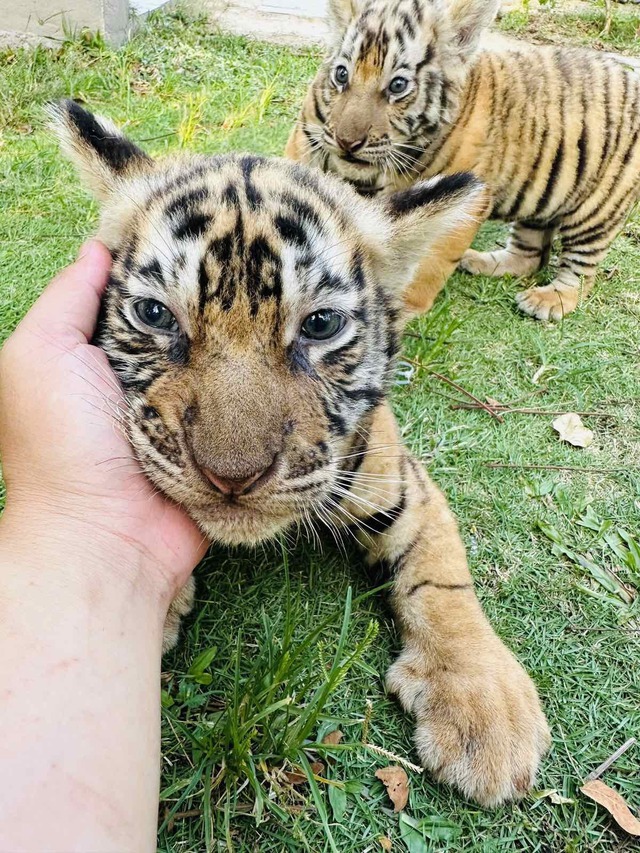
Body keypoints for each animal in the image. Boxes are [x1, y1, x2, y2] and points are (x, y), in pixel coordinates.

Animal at [50, 99, 550, 807]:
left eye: (319, 325)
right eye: (155, 315)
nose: (232, 477)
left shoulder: (402, 482)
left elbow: (443, 579)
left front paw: (487, 709)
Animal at [286, 0, 640, 321]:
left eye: (398, 85)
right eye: (342, 75)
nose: (348, 142)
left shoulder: (469, 196)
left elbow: (430, 261)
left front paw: (401, 309)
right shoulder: (306, 137)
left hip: (596, 213)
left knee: (581, 270)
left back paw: (550, 300)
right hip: (541, 204)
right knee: (530, 255)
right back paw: (482, 262)